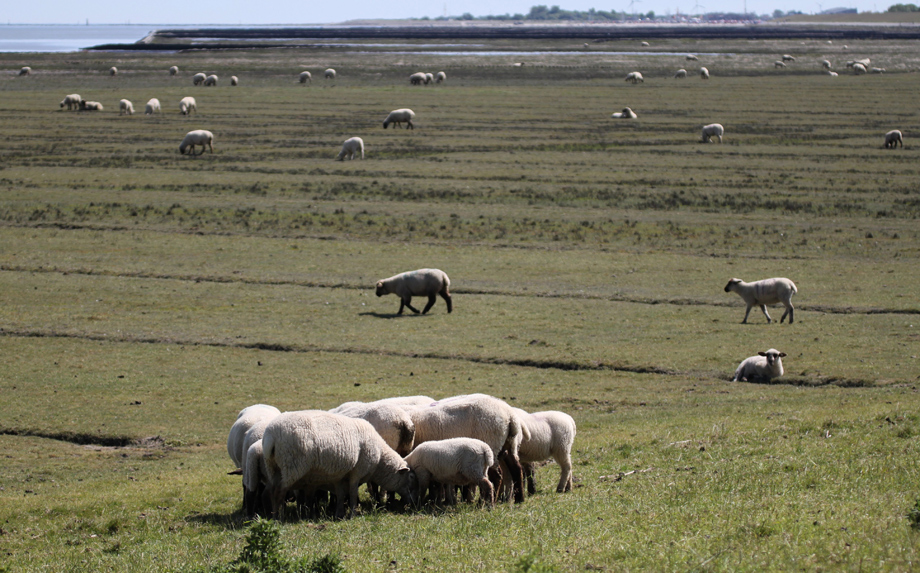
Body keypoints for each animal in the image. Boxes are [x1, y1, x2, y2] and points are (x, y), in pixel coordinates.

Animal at [258, 412, 416, 520]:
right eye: (410, 478)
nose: (411, 503)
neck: (380, 459)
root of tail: (271, 437)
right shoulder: (356, 472)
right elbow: (352, 493)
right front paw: (353, 513)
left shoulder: (340, 477)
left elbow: (340, 495)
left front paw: (339, 514)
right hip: (292, 465)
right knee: (279, 491)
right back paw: (278, 517)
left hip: (273, 467)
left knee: (272, 490)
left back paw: (275, 514)